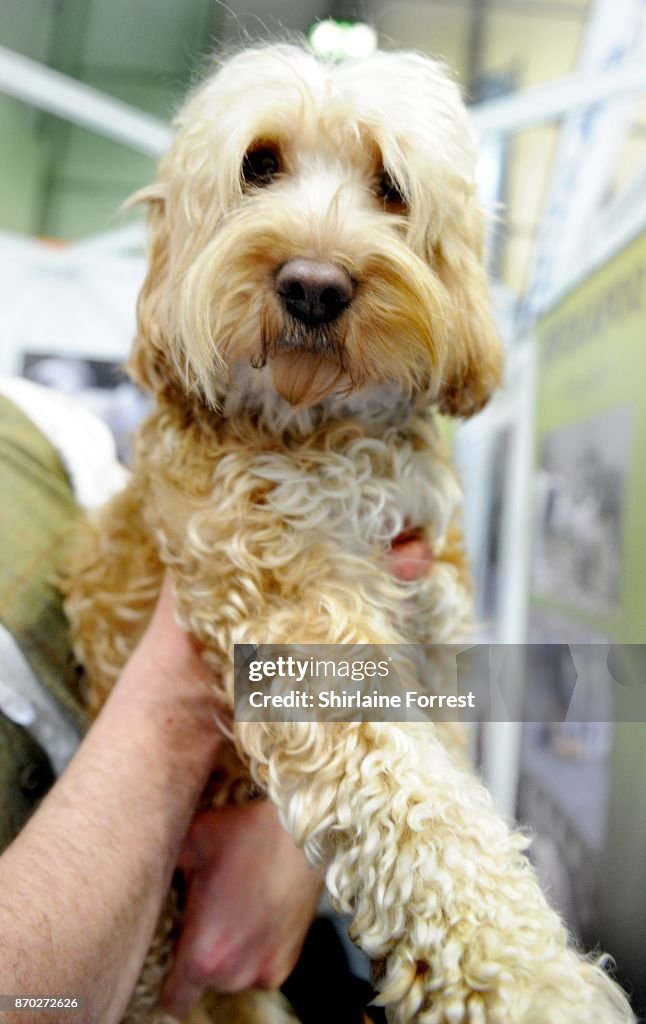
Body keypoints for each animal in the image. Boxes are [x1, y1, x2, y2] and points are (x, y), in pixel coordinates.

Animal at [63, 41, 634, 1024]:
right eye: (258, 165)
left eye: (391, 185)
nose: (314, 284)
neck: (321, 430)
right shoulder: (292, 623)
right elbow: (421, 814)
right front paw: (528, 978)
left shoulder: (437, 632)